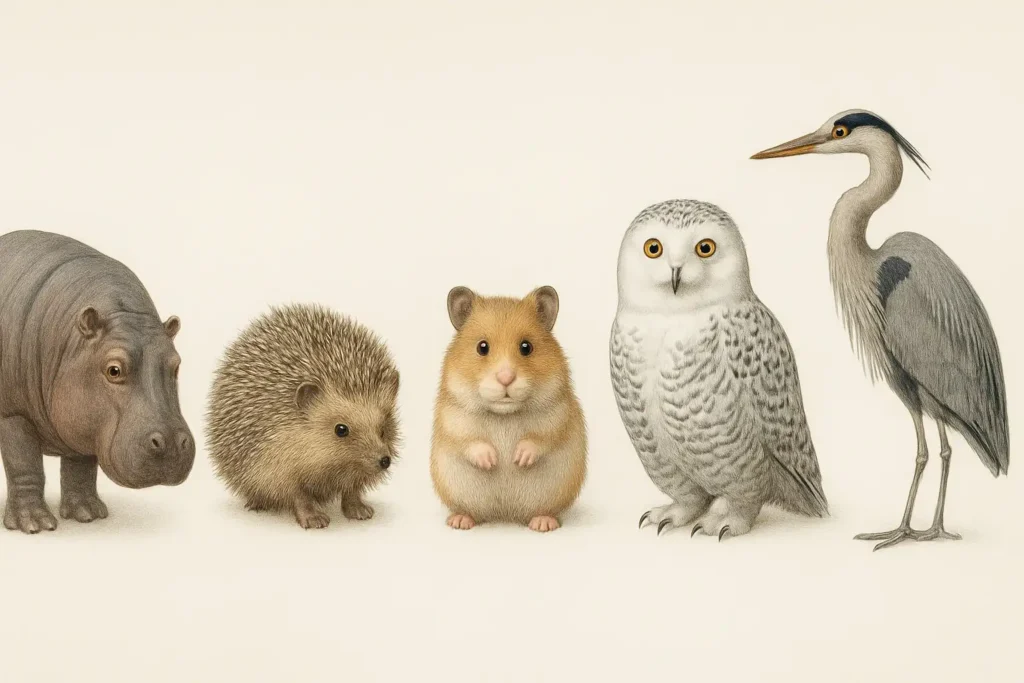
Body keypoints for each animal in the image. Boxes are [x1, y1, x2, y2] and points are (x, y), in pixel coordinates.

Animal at [430, 286, 587, 532]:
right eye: (482, 347)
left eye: (526, 347)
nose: (506, 378)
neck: (504, 414)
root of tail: (505, 515)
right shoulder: (453, 417)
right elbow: (469, 440)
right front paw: (491, 461)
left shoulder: (558, 413)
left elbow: (541, 437)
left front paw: (519, 459)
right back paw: (460, 521)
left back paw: (543, 524)